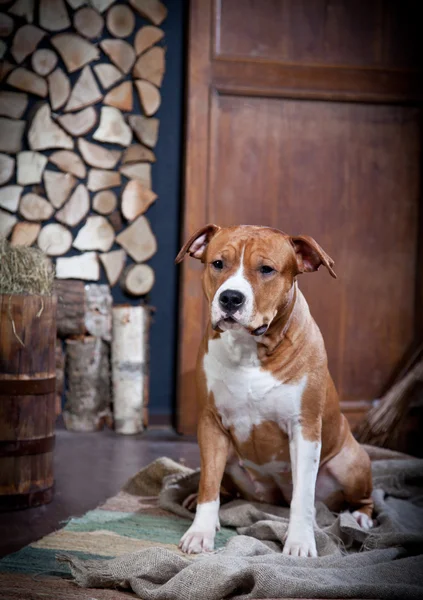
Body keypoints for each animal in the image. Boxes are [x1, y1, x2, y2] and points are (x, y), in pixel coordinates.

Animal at [176, 225, 374, 556]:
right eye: (218, 264)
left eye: (266, 269)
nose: (230, 298)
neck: (251, 350)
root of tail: (272, 498)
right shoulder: (211, 422)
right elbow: (209, 483)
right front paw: (200, 531)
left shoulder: (304, 428)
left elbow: (303, 497)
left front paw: (300, 542)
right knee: (222, 484)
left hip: (351, 464)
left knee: (363, 499)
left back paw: (359, 519)